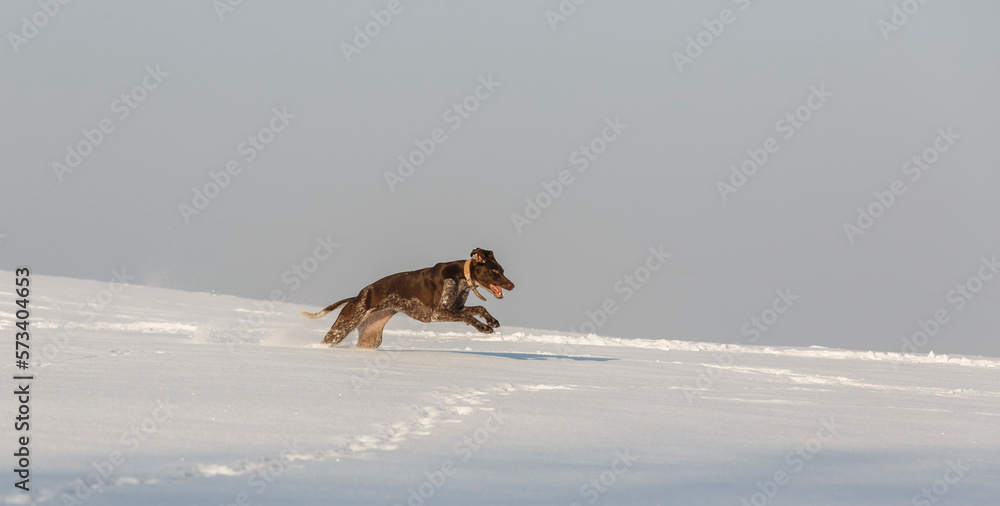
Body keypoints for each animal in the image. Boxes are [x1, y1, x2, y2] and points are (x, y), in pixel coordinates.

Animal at [300, 248, 512, 348]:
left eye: (502, 270)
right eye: (494, 272)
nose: (512, 285)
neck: (460, 276)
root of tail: (356, 297)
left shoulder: (454, 308)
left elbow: (478, 309)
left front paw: (491, 320)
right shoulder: (438, 313)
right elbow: (468, 316)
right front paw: (483, 327)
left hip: (370, 338)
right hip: (341, 328)